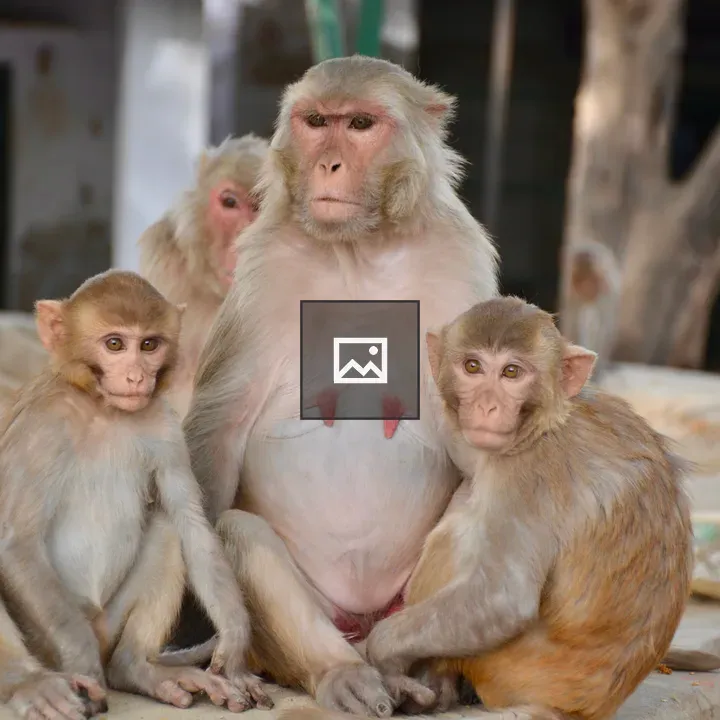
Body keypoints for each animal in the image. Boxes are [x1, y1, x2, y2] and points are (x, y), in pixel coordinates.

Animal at [0, 270, 273, 720]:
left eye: (149, 344)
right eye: (115, 344)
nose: (136, 377)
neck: (102, 409)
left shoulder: (163, 425)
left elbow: (191, 524)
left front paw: (234, 645)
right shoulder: (40, 428)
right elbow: (17, 542)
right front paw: (82, 666)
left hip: (108, 624)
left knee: (167, 530)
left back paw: (135, 669)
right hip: (43, 636)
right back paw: (32, 683)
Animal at [164, 55, 500, 717]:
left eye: (361, 125)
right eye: (318, 122)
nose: (329, 164)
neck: (359, 251)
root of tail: (362, 627)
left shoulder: (461, 262)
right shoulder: (263, 272)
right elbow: (219, 430)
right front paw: (214, 638)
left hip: (402, 606)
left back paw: (429, 677)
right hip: (318, 621)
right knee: (241, 533)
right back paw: (341, 673)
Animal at [358, 296, 695, 720]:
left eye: (512, 373)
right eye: (473, 367)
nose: (487, 406)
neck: (545, 422)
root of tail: (579, 709)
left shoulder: (526, 475)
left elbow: (503, 598)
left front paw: (382, 654)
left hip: (510, 667)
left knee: (460, 529)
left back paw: (439, 684)